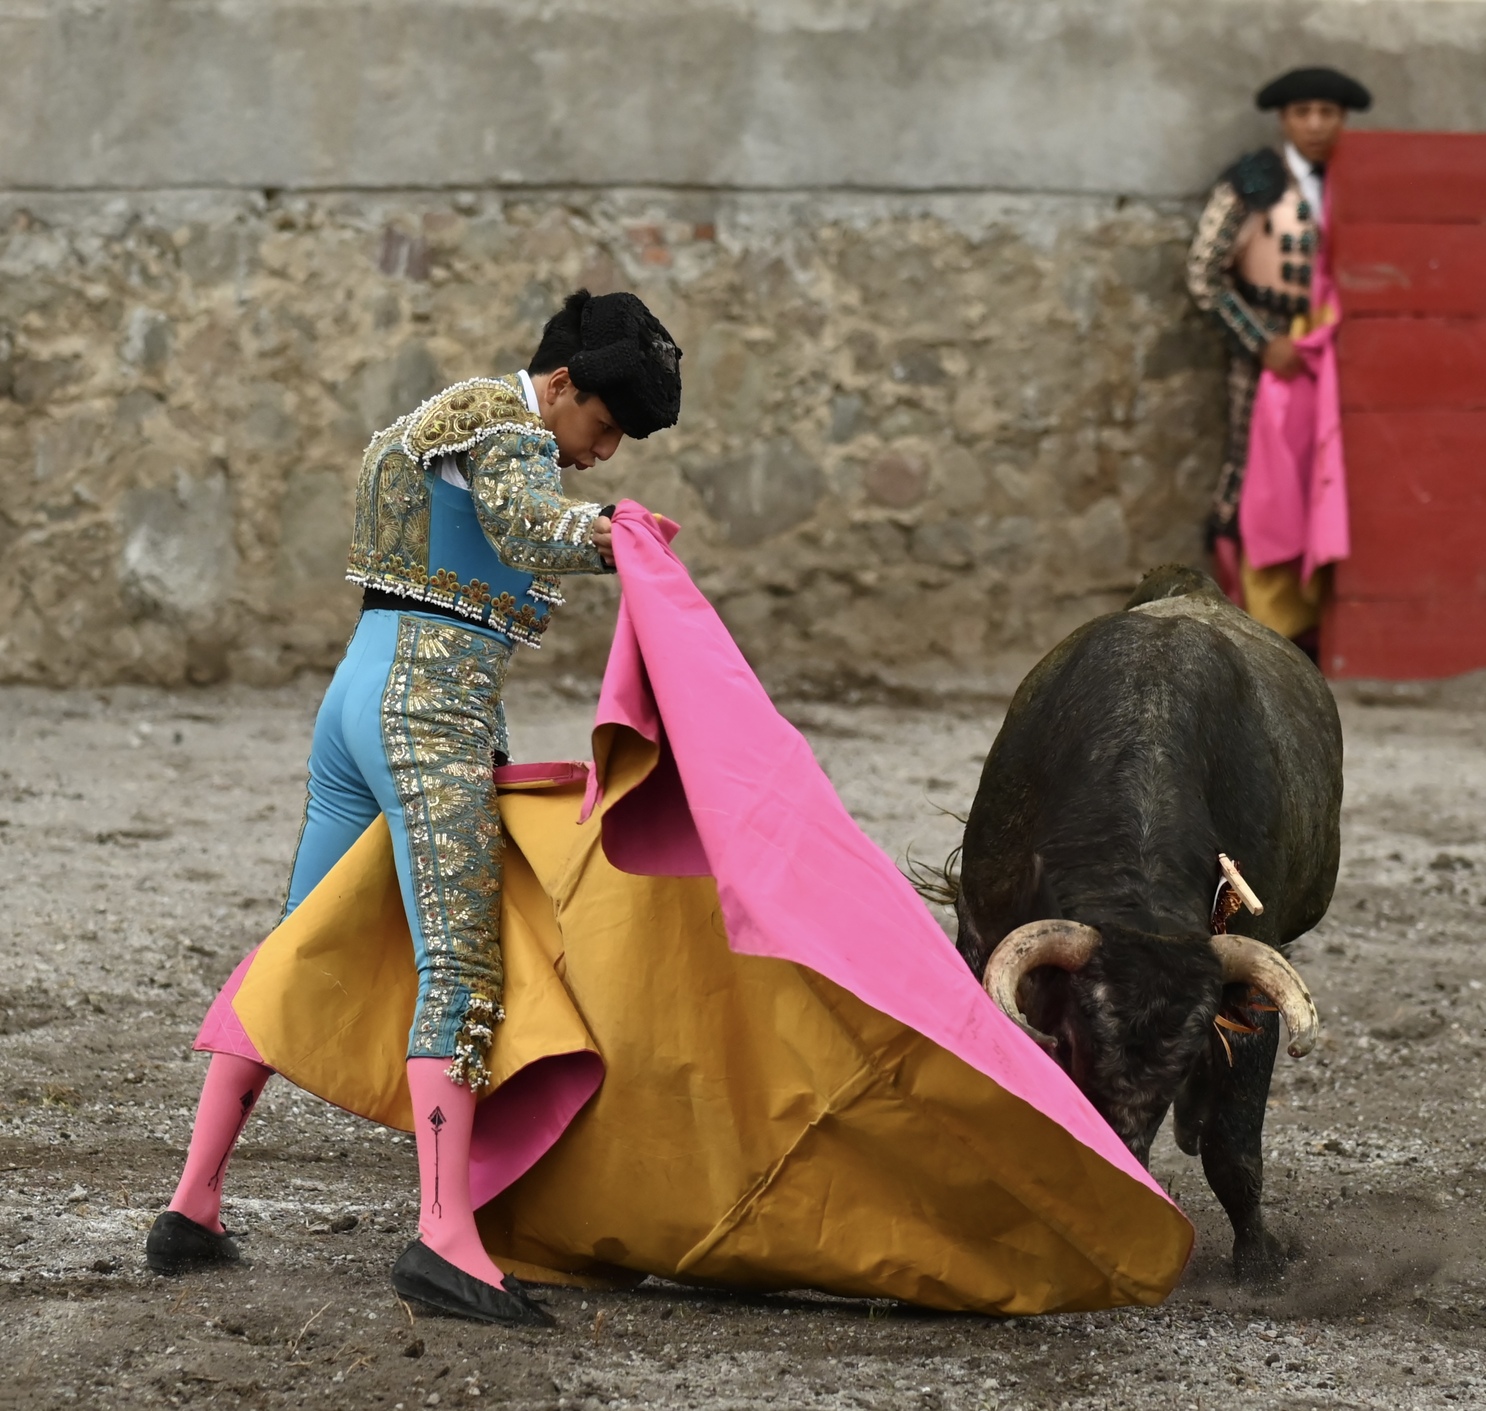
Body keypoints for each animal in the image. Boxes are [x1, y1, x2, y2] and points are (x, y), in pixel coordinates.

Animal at [951, 565, 1341, 1284]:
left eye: (1182, 1059)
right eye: (1069, 1040)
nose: (1120, 1163)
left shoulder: (1250, 986)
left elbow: (1233, 1140)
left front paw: (1259, 1260)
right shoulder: (980, 928)